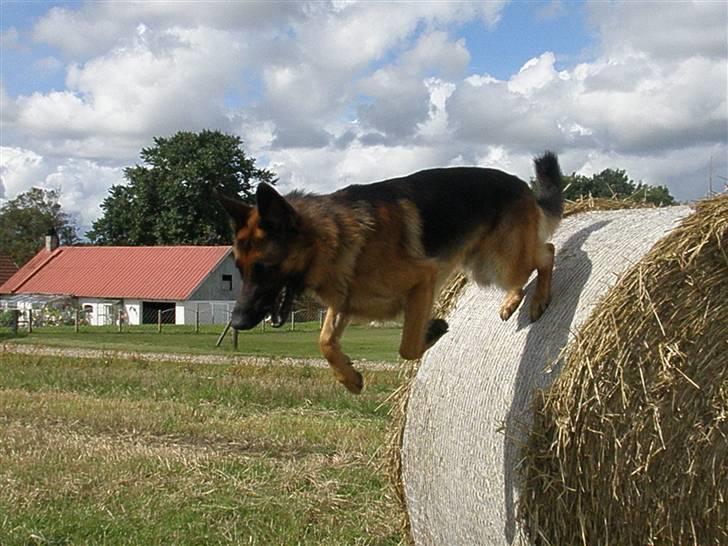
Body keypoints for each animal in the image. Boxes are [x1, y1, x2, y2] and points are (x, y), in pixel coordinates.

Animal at [216, 151, 564, 394]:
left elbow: (407, 347)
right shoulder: (345, 300)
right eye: (240, 269)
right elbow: (324, 340)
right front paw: (349, 378)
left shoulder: (423, 280)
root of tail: (522, 185)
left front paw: (432, 330)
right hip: (484, 266)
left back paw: (536, 300)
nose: (237, 322)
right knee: (529, 267)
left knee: (546, 253)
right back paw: (512, 301)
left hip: (499, 259)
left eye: (265, 267)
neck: (334, 238)